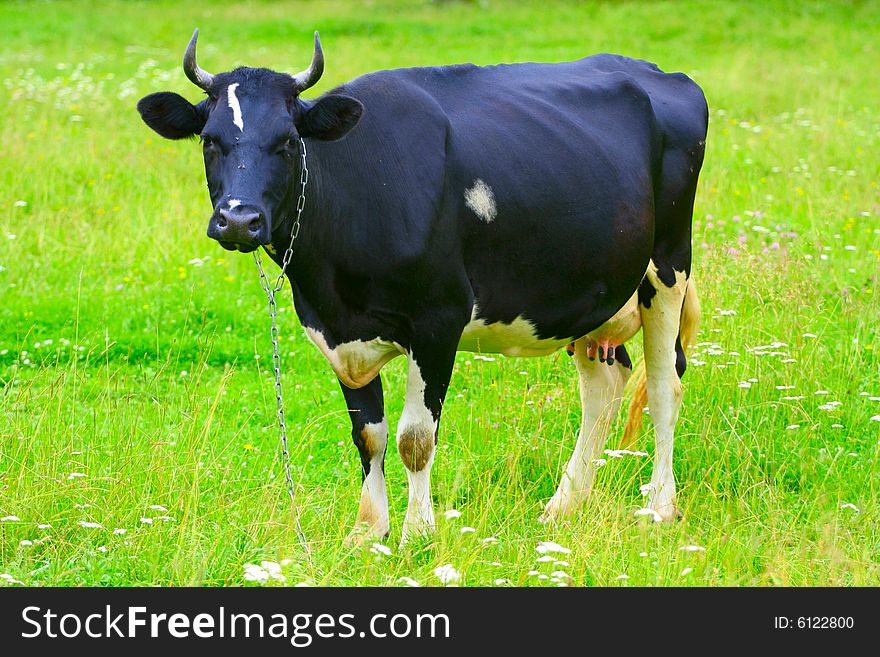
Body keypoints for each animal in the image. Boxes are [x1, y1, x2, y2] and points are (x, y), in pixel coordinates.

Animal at [138, 29, 708, 544]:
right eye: (210, 141)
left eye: (287, 141)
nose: (239, 220)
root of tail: (659, 73)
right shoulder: (337, 332)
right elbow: (368, 436)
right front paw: (367, 532)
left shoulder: (438, 321)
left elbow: (414, 438)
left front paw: (418, 533)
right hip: (590, 293)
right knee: (604, 388)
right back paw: (562, 507)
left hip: (667, 266)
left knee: (664, 386)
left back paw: (660, 507)